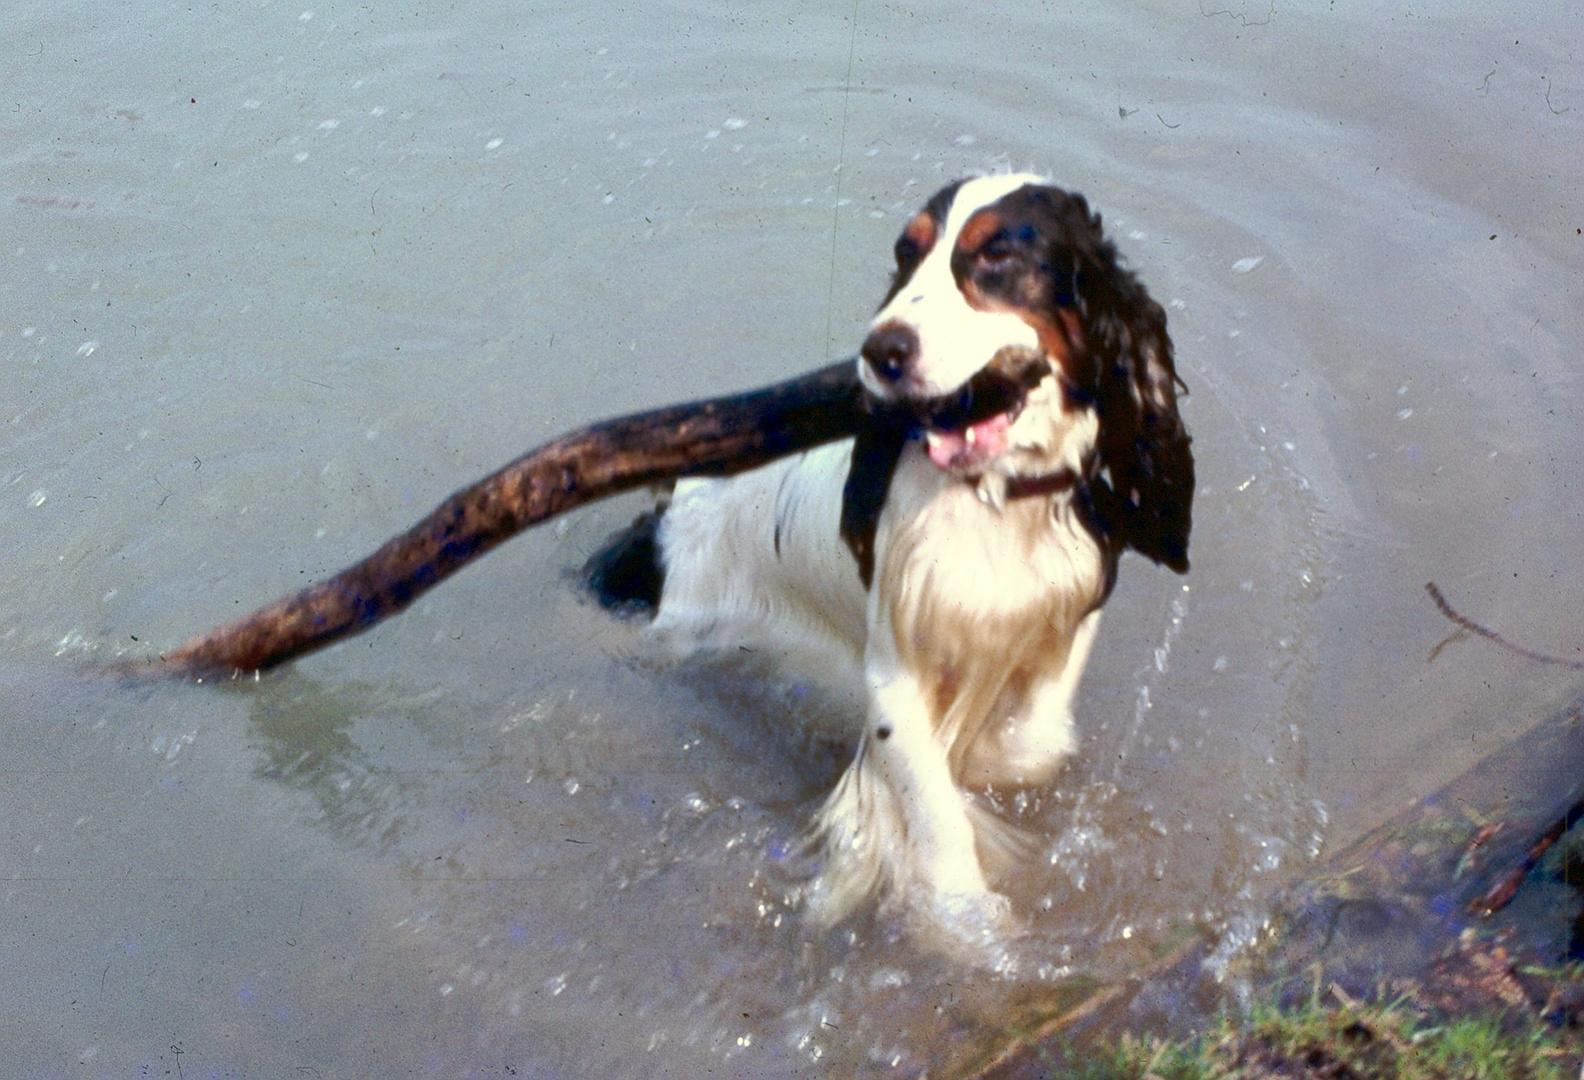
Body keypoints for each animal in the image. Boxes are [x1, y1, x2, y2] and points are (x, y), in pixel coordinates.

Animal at [589, 172, 1191, 937]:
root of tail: (674, 510)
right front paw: (963, 925)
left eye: (995, 256)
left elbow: (1032, 745)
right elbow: (934, 805)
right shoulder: (895, 671)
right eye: (907, 255)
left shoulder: (1076, 597)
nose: (883, 352)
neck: (996, 499)